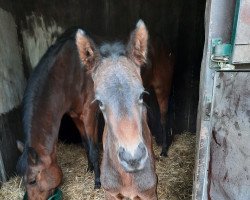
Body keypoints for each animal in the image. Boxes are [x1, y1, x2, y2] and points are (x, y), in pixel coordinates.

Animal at [16, 28, 100, 199]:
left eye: (32, 180)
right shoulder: (76, 115)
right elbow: (86, 144)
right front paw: (90, 169)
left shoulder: (89, 113)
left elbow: (94, 149)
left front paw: (97, 182)